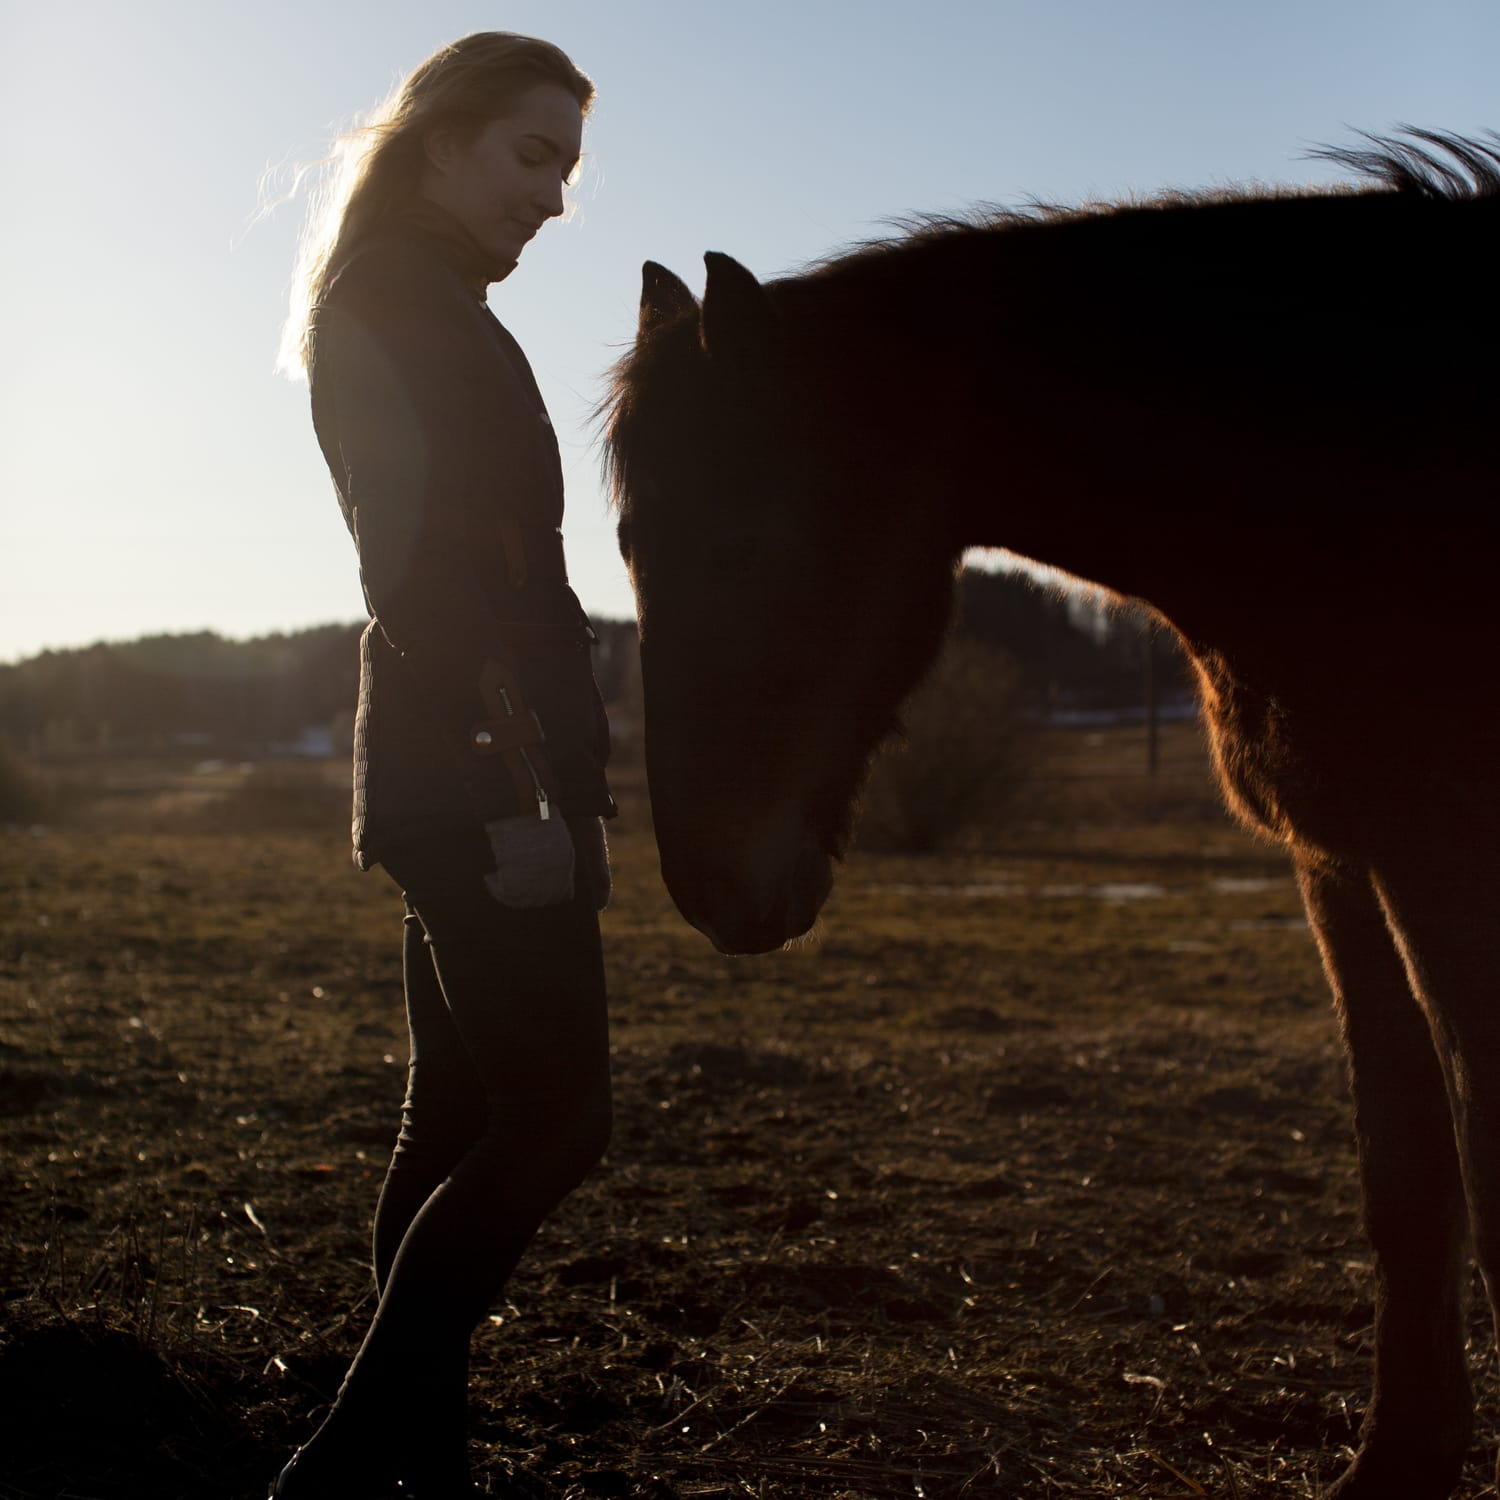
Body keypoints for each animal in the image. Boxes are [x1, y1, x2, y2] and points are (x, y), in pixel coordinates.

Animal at [602, 131, 1499, 1499]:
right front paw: (1398, 1459)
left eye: (747, 540)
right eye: (629, 546)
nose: (710, 884)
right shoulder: (1346, 859)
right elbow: (1407, 1174)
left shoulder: (1441, 859)